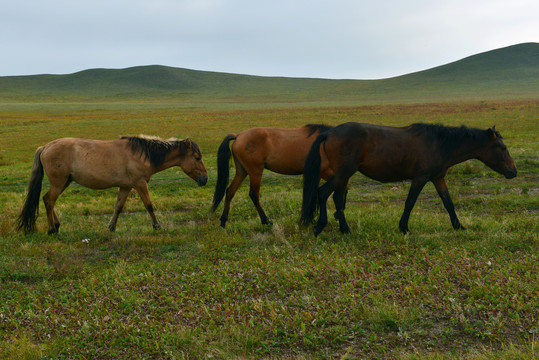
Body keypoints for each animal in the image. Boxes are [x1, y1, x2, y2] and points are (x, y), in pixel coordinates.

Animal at [17, 135, 209, 233]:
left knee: (48, 200)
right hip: (59, 183)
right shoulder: (140, 184)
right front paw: (157, 226)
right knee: (49, 200)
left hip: (65, 182)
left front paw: (111, 226)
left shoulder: (126, 186)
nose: (205, 179)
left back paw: (56, 225)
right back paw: (52, 229)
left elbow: (118, 207)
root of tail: (45, 147)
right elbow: (149, 205)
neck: (144, 154)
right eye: (197, 158)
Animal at [302, 123, 516, 236]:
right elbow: (410, 202)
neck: (439, 144)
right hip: (342, 173)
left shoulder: (438, 178)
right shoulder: (420, 178)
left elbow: (448, 203)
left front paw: (459, 226)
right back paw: (320, 226)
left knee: (338, 199)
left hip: (344, 175)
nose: (513, 172)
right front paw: (404, 228)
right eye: (502, 147)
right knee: (322, 193)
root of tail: (329, 132)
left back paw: (345, 229)